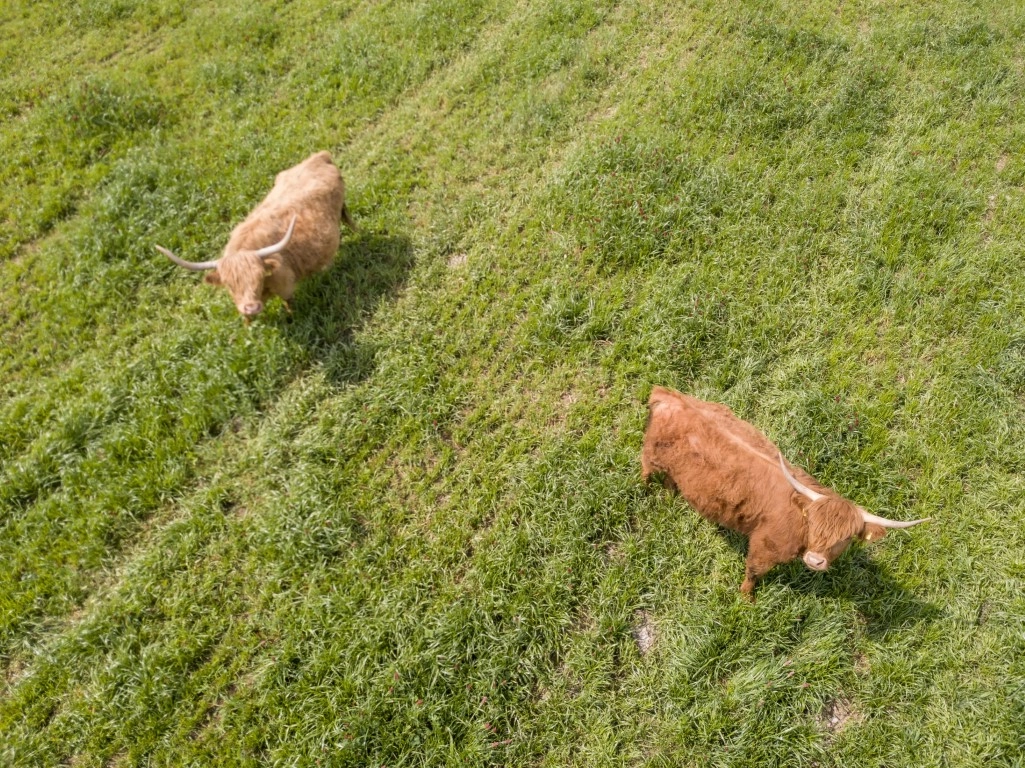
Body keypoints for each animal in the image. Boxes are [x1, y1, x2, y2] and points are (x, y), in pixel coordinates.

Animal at [156, 151, 357, 321]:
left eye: (259, 276)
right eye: (229, 284)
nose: (251, 307)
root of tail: (319, 156)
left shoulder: (285, 285)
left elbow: (289, 303)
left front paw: (292, 316)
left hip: (342, 207)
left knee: (347, 219)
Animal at [641, 386, 929, 598]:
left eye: (845, 538)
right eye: (813, 524)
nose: (814, 561)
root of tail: (669, 394)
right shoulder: (764, 545)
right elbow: (753, 571)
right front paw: (746, 598)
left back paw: (670, 493)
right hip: (653, 453)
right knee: (645, 465)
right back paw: (646, 490)